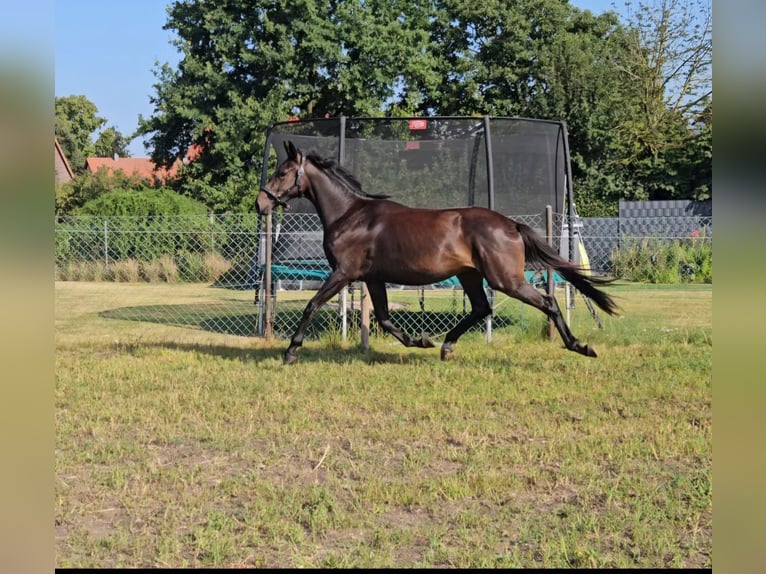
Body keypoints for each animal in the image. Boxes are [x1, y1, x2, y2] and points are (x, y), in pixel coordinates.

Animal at [257, 140, 618, 365]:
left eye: (281, 173)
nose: (261, 203)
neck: (350, 215)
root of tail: (512, 225)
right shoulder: (373, 278)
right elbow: (384, 318)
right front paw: (420, 341)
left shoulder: (344, 273)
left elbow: (312, 305)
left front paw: (290, 352)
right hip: (470, 276)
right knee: (481, 308)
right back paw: (444, 345)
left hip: (505, 279)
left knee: (547, 302)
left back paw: (580, 346)